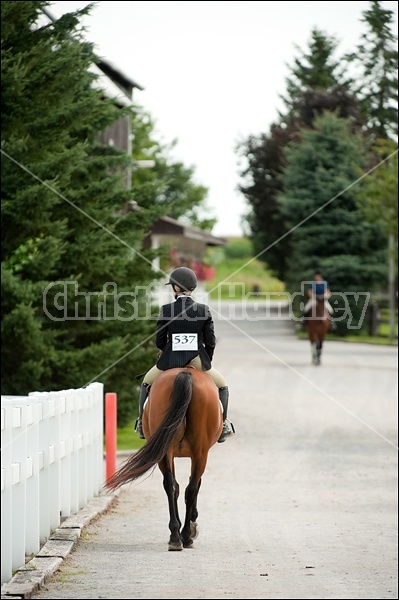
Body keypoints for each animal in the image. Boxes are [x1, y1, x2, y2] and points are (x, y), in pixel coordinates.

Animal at [106, 364, 223, 552]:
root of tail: (186, 373)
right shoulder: (199, 454)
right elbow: (193, 485)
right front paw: (192, 524)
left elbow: (178, 485)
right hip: (198, 452)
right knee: (189, 488)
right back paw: (185, 536)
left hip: (168, 451)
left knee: (171, 485)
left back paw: (176, 537)